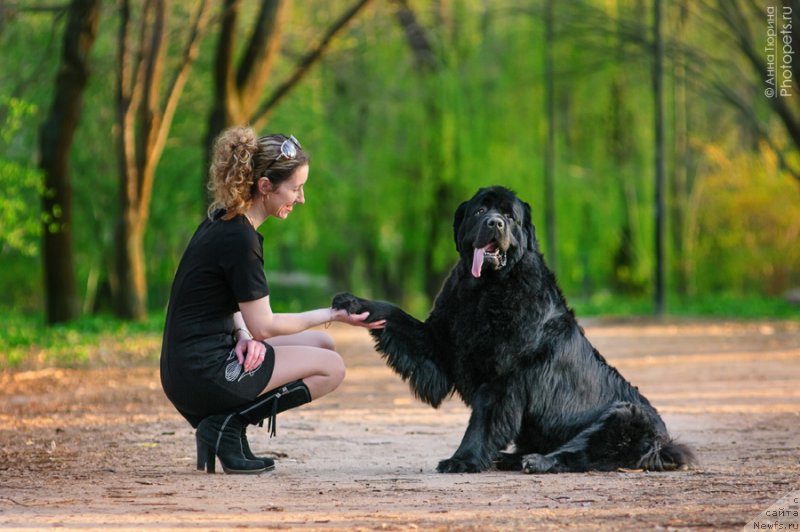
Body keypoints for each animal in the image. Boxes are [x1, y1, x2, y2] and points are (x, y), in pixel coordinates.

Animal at [332, 186, 692, 474]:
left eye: (510, 216)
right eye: (480, 211)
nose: (495, 223)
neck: (485, 291)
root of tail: (664, 442)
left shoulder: (504, 374)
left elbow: (483, 419)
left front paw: (462, 460)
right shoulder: (438, 343)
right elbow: (394, 314)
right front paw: (353, 302)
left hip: (625, 415)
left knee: (579, 454)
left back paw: (535, 461)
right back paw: (510, 458)